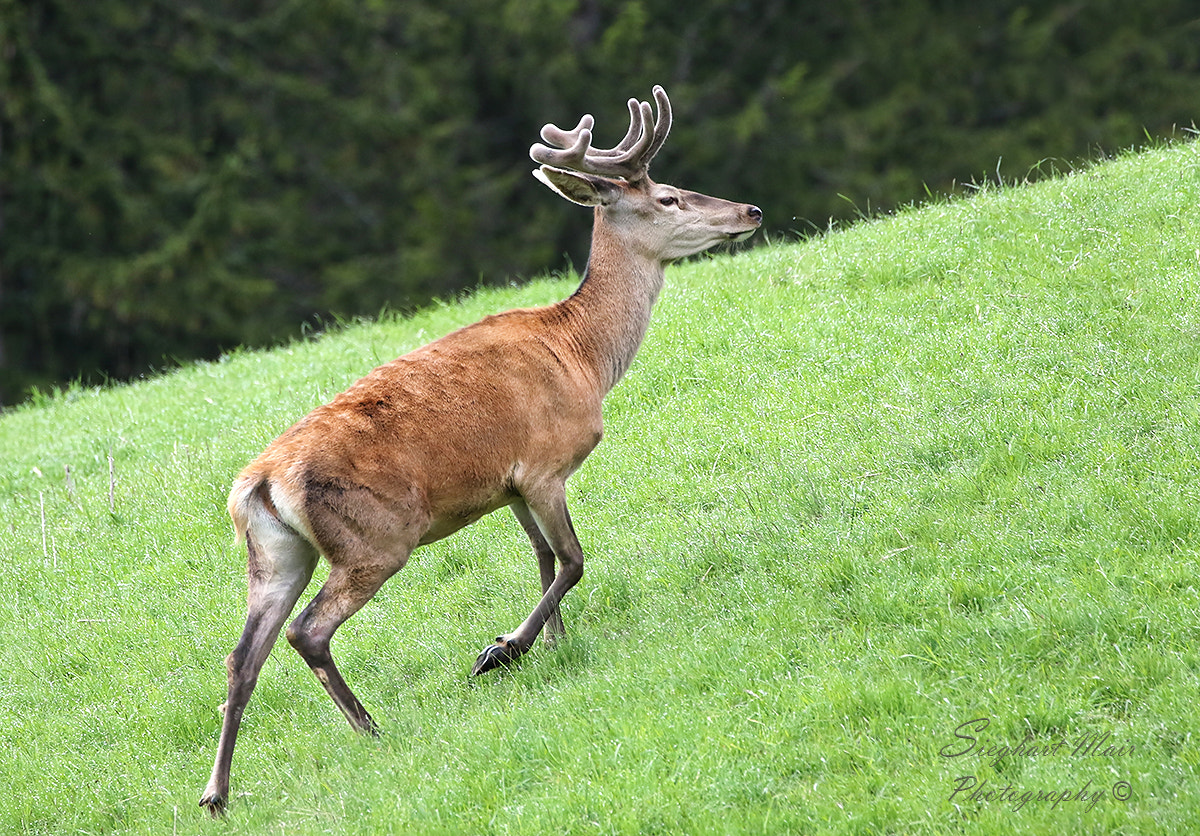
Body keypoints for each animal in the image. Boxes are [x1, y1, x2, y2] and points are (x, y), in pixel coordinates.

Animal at [196, 86, 758, 815]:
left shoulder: (509, 483)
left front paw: (556, 643)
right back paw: (371, 729)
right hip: (375, 539)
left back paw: (216, 792)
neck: (585, 356)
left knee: (244, 655)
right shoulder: (545, 465)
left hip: (275, 554)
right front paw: (503, 650)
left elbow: (543, 559)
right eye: (668, 197)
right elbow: (574, 560)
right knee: (307, 631)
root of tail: (258, 482)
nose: (750, 211)